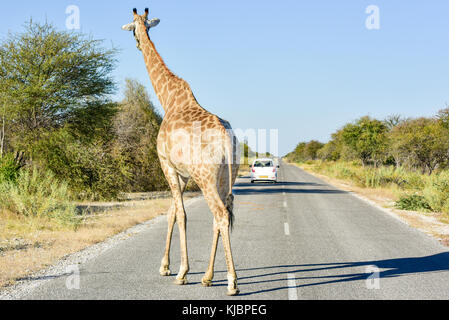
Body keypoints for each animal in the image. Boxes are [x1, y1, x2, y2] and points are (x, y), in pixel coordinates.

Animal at [121, 7, 242, 296]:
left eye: (133, 29)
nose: (138, 43)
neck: (168, 100)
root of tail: (227, 139)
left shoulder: (166, 164)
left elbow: (182, 214)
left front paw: (181, 272)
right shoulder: (184, 174)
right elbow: (172, 213)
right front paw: (165, 266)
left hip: (206, 178)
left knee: (220, 215)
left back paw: (232, 282)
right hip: (225, 178)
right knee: (219, 216)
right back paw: (208, 277)